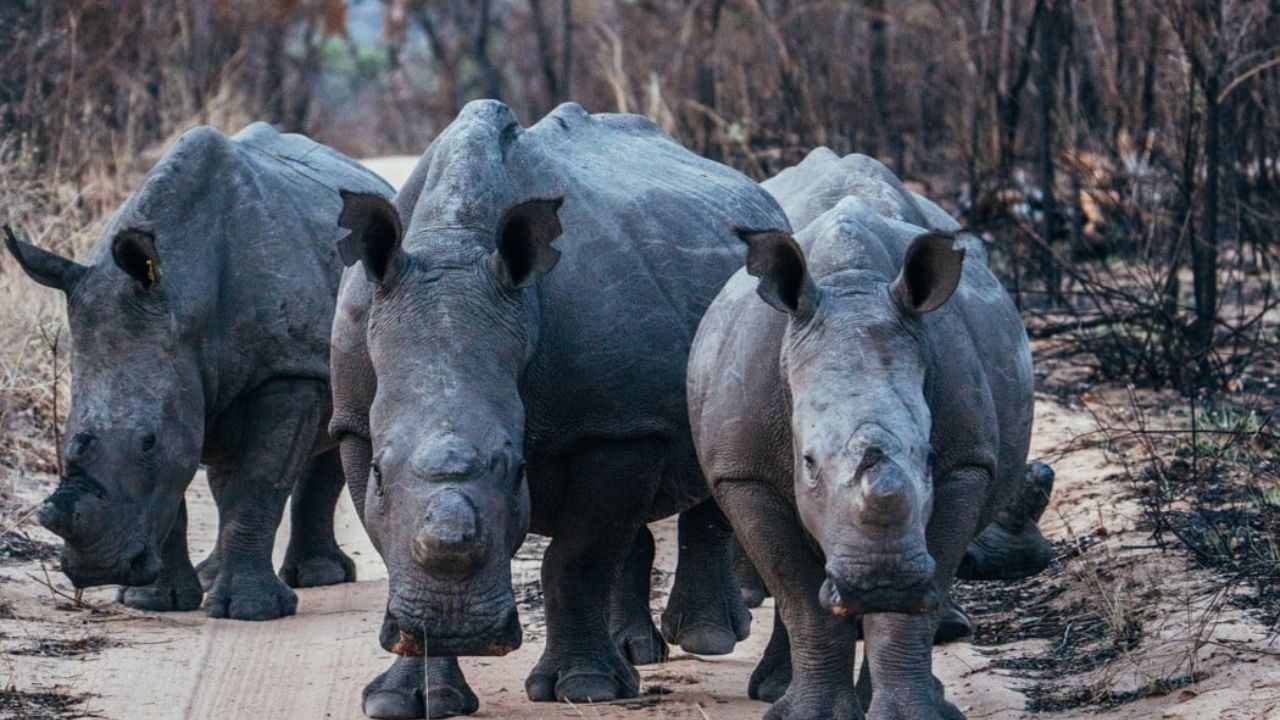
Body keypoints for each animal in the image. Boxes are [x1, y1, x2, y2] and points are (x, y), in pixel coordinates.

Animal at [4, 123, 390, 620]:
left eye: (147, 442)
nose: (97, 569)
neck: (185, 296)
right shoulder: (175, 361)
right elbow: (183, 480)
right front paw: (155, 602)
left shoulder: (287, 370)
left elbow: (259, 481)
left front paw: (250, 612)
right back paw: (214, 576)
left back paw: (317, 577)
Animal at [329, 100, 785, 718]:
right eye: (379, 473)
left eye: (518, 469)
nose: (457, 629)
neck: (453, 246)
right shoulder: (355, 421)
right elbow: (393, 539)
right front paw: (404, 701)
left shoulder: (618, 428)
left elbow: (576, 560)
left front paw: (586, 689)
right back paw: (637, 652)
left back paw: (706, 640)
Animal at [687, 150, 1038, 719]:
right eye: (807, 462)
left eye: (930, 454)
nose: (883, 580)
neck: (852, 287)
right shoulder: (743, 472)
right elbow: (799, 594)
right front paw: (808, 716)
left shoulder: (966, 464)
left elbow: (915, 602)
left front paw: (913, 714)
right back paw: (775, 691)